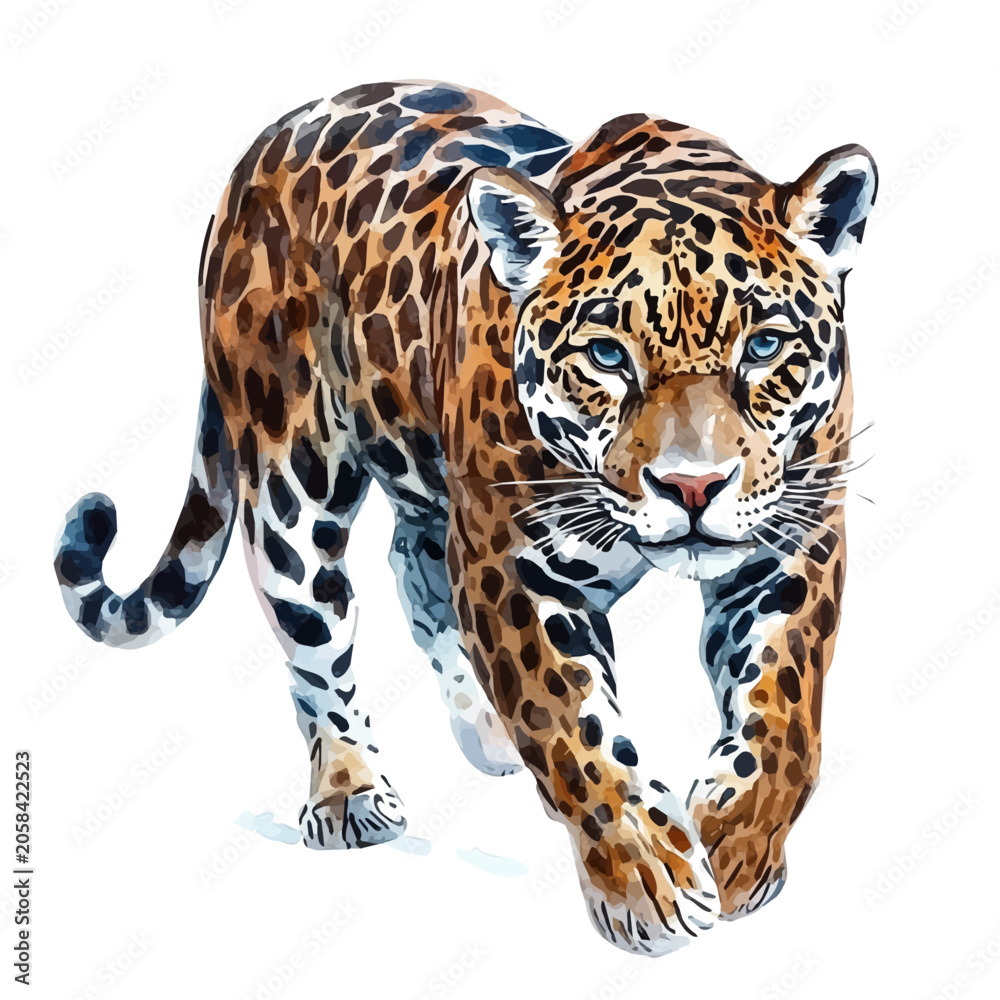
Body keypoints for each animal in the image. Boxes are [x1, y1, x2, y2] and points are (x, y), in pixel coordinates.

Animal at [54, 80, 877, 956]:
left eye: (764, 347)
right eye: (607, 356)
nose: (692, 487)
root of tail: (267, 143)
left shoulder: (792, 546)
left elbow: (785, 711)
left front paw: (736, 847)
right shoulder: (511, 564)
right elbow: (572, 726)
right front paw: (647, 884)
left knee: (414, 567)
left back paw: (483, 731)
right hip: (290, 484)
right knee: (314, 641)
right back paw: (349, 793)